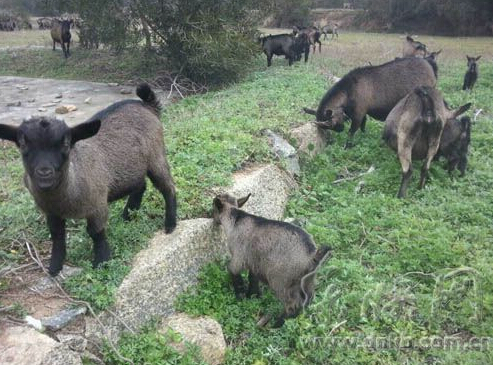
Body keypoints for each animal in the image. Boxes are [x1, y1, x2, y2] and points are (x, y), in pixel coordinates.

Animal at [212, 193, 330, 328]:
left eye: (213, 206)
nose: (213, 220)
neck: (236, 219)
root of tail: (312, 256)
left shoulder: (238, 258)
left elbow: (234, 273)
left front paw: (240, 297)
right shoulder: (255, 262)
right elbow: (253, 279)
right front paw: (253, 296)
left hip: (281, 281)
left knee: (292, 305)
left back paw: (276, 325)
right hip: (307, 281)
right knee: (307, 300)